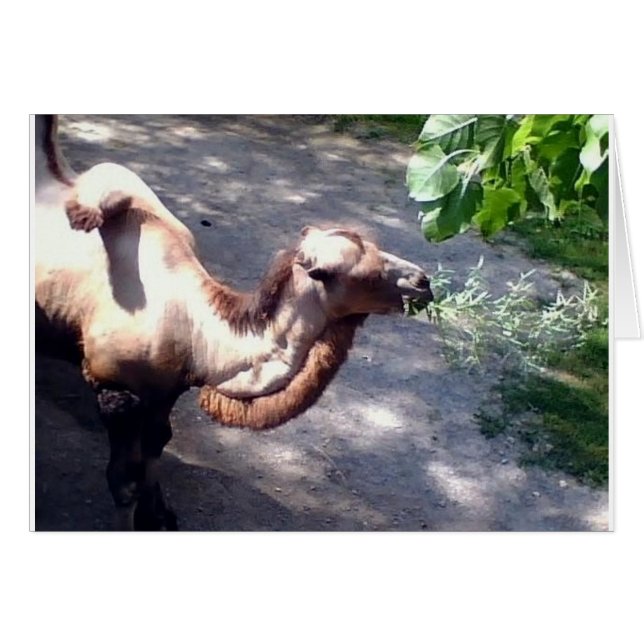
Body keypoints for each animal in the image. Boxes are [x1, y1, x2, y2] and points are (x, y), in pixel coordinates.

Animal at [34, 115, 433, 530]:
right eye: (367, 275)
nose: (424, 281)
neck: (193, 328)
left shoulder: (167, 388)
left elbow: (158, 443)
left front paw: (160, 515)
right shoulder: (114, 388)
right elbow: (125, 479)